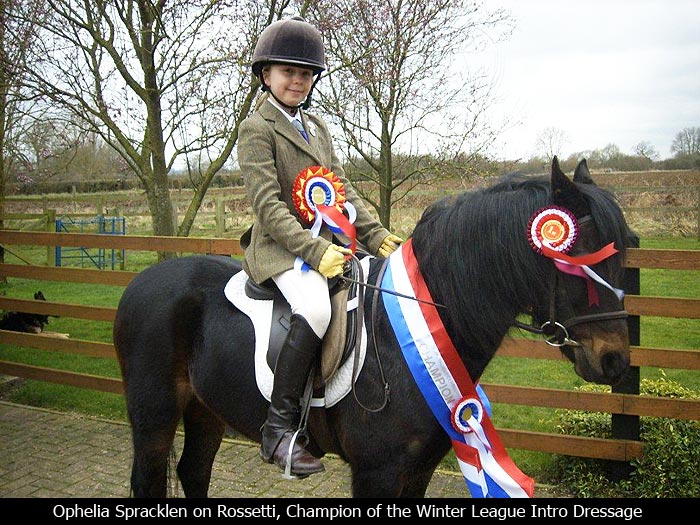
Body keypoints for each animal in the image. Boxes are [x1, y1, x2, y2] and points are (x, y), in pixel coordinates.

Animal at [113, 158, 636, 498]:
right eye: (578, 260)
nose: (614, 361)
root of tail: (141, 281)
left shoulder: (418, 468)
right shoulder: (376, 471)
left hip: (205, 410)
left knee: (193, 472)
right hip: (154, 414)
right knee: (148, 479)